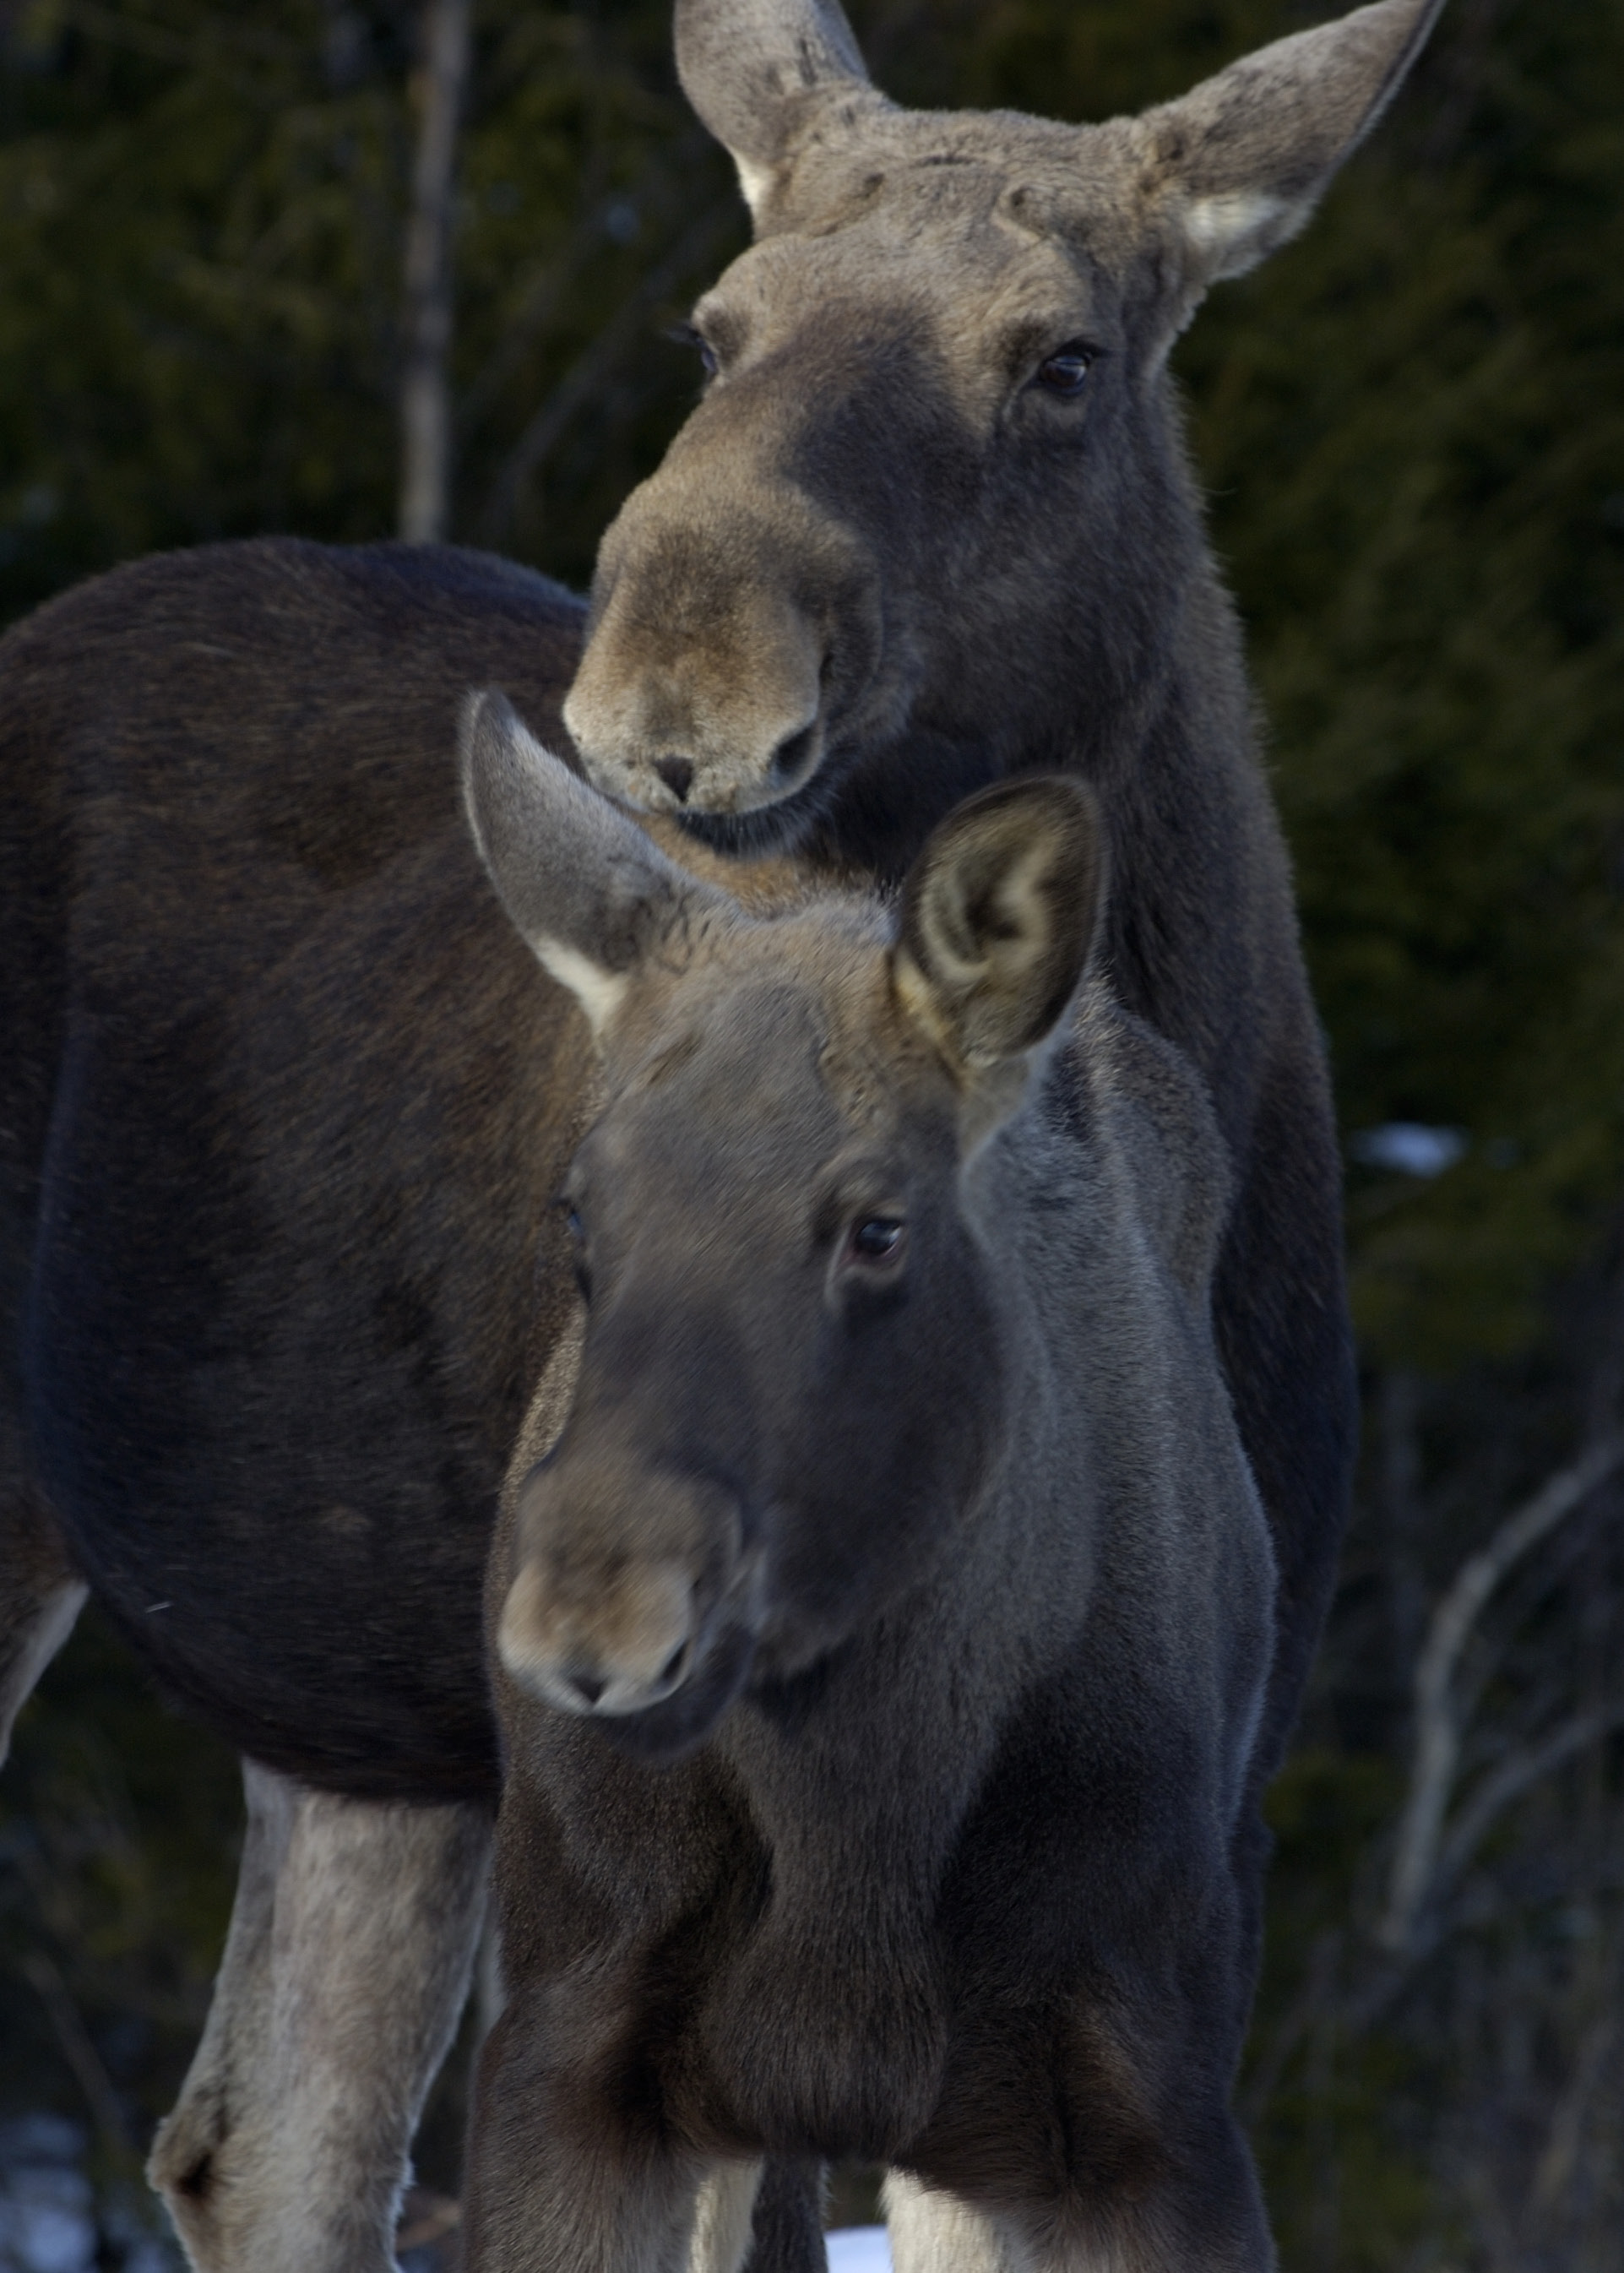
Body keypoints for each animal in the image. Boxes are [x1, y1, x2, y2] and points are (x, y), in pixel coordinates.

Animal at [460, 691, 1280, 2273]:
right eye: (581, 1209)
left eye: (877, 1226)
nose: (593, 1614)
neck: (858, 1830)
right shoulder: (568, 2049)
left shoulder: (1148, 2107)